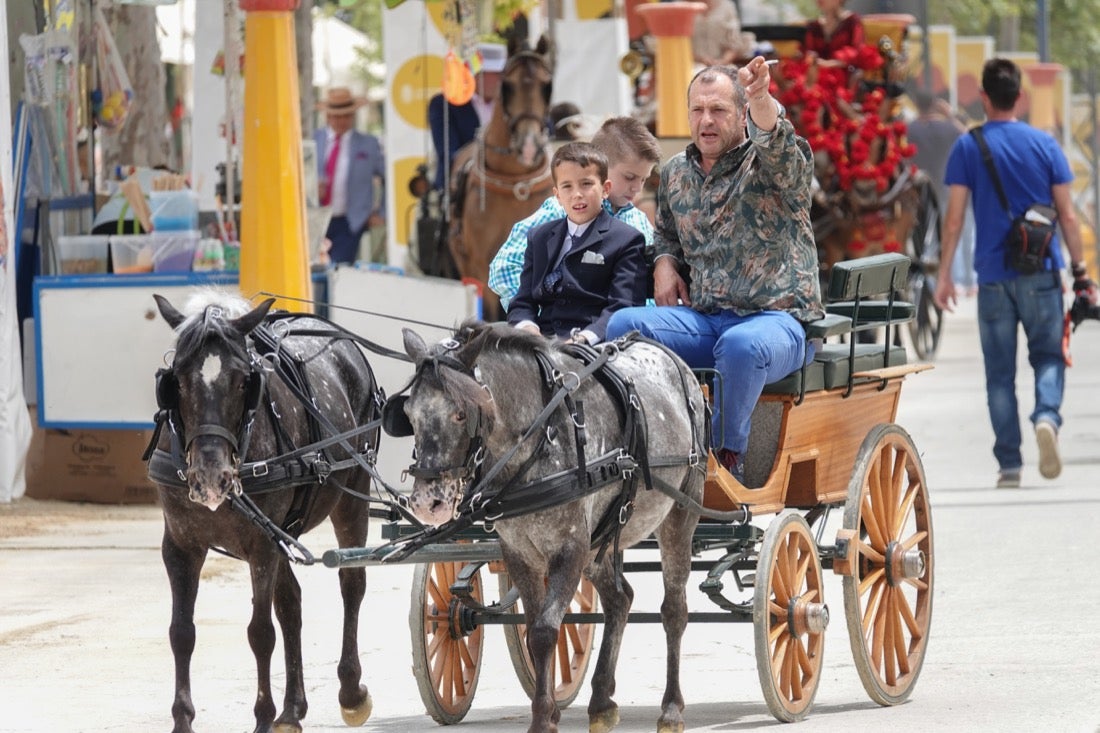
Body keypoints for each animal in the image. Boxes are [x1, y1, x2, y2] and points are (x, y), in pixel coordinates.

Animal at [150, 294, 380, 730]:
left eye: (244, 382)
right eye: (177, 381)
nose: (210, 475)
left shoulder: (261, 546)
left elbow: (260, 632)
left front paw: (261, 715)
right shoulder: (180, 545)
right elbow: (181, 632)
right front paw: (183, 718)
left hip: (352, 495)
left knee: (352, 584)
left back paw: (350, 690)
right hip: (282, 531)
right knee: (291, 603)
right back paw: (292, 709)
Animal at [402, 323, 704, 730]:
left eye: (461, 414)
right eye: (408, 412)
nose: (425, 503)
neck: (539, 436)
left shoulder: (570, 547)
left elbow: (546, 631)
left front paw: (543, 719)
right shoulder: (520, 553)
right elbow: (533, 630)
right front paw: (548, 710)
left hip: (680, 513)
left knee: (674, 611)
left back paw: (671, 708)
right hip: (601, 539)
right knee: (619, 600)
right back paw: (601, 701)